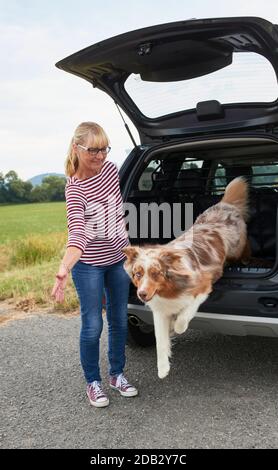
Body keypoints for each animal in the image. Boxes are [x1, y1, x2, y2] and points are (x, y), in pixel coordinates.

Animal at [121, 176, 250, 378]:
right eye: (138, 274)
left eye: (156, 273)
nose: (141, 294)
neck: (170, 288)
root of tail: (224, 204)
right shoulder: (160, 310)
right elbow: (160, 340)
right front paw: (163, 368)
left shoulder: (202, 288)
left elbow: (183, 317)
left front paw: (176, 327)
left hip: (238, 247)